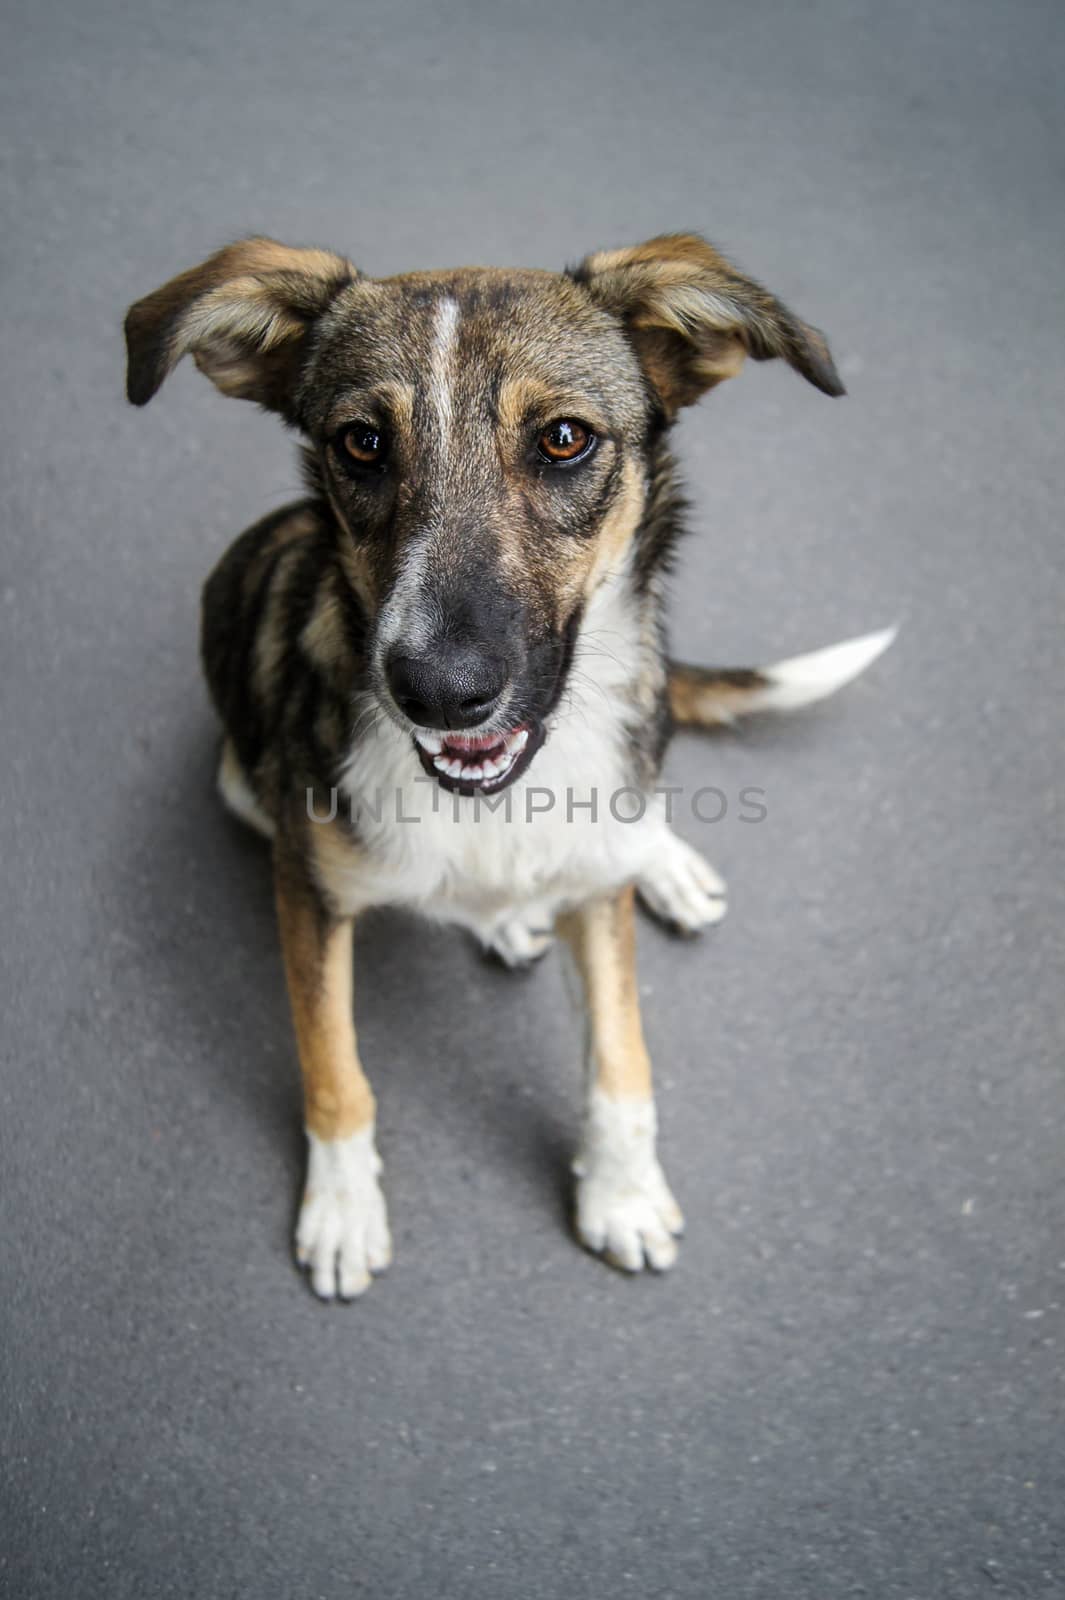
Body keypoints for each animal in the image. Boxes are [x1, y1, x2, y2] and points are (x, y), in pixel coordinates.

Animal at [122, 228, 889, 1299]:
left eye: (564, 439)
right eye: (361, 443)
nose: (440, 692)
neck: (496, 803)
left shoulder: (598, 901)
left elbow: (621, 1057)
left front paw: (622, 1195)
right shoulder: (305, 889)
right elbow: (333, 1064)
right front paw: (344, 1211)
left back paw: (656, 864)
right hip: (239, 783)